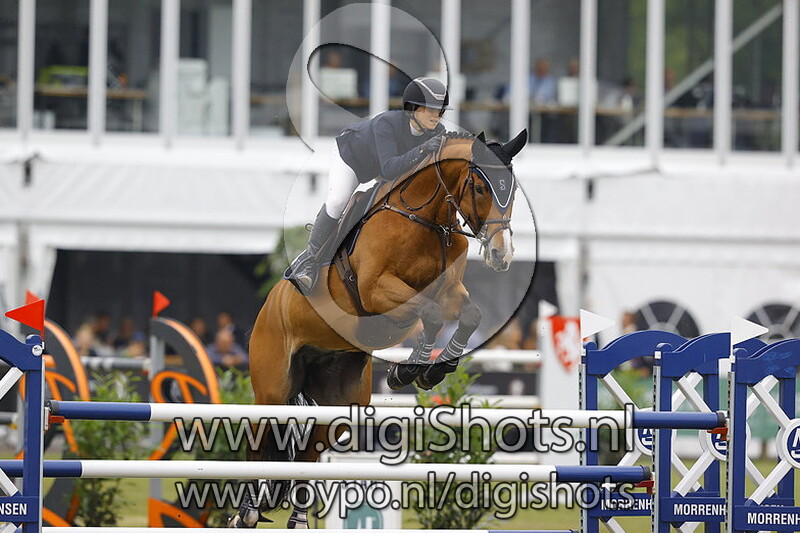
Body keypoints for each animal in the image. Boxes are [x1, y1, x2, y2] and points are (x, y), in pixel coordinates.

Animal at [229, 129, 528, 528]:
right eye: (480, 188)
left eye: (513, 188)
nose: (501, 255)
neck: (426, 220)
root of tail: (267, 308)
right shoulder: (376, 291)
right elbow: (430, 314)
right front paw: (409, 371)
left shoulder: (450, 291)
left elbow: (469, 316)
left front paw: (436, 368)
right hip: (273, 387)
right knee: (258, 440)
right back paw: (246, 511)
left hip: (340, 402)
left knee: (308, 454)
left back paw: (299, 520)